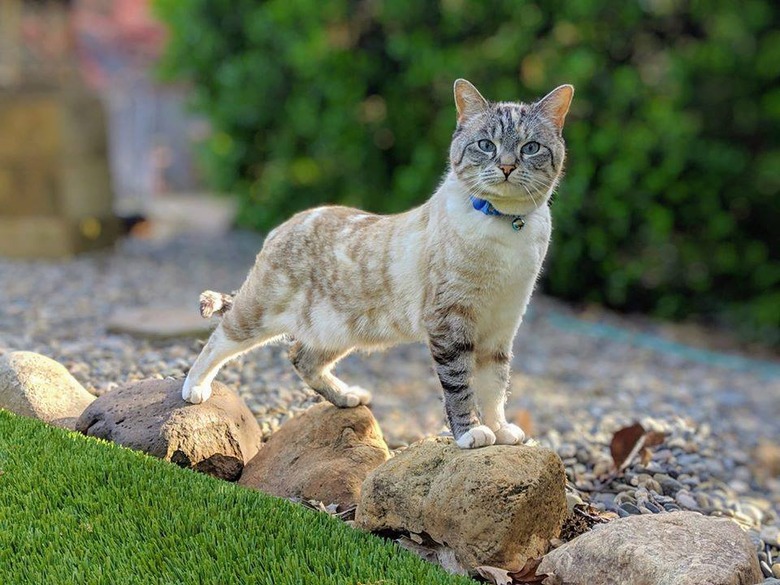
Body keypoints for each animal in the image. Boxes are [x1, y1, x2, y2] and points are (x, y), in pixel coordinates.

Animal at [183, 78, 572, 448]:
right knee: (221, 336)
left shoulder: (501, 327)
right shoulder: (451, 322)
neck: (505, 225)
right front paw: (472, 434)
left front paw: (501, 430)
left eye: (530, 148)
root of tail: (283, 225)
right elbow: (460, 387)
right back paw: (194, 388)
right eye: (487, 145)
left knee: (300, 357)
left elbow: (495, 387)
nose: (507, 166)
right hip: (261, 313)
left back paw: (347, 397)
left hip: (335, 331)